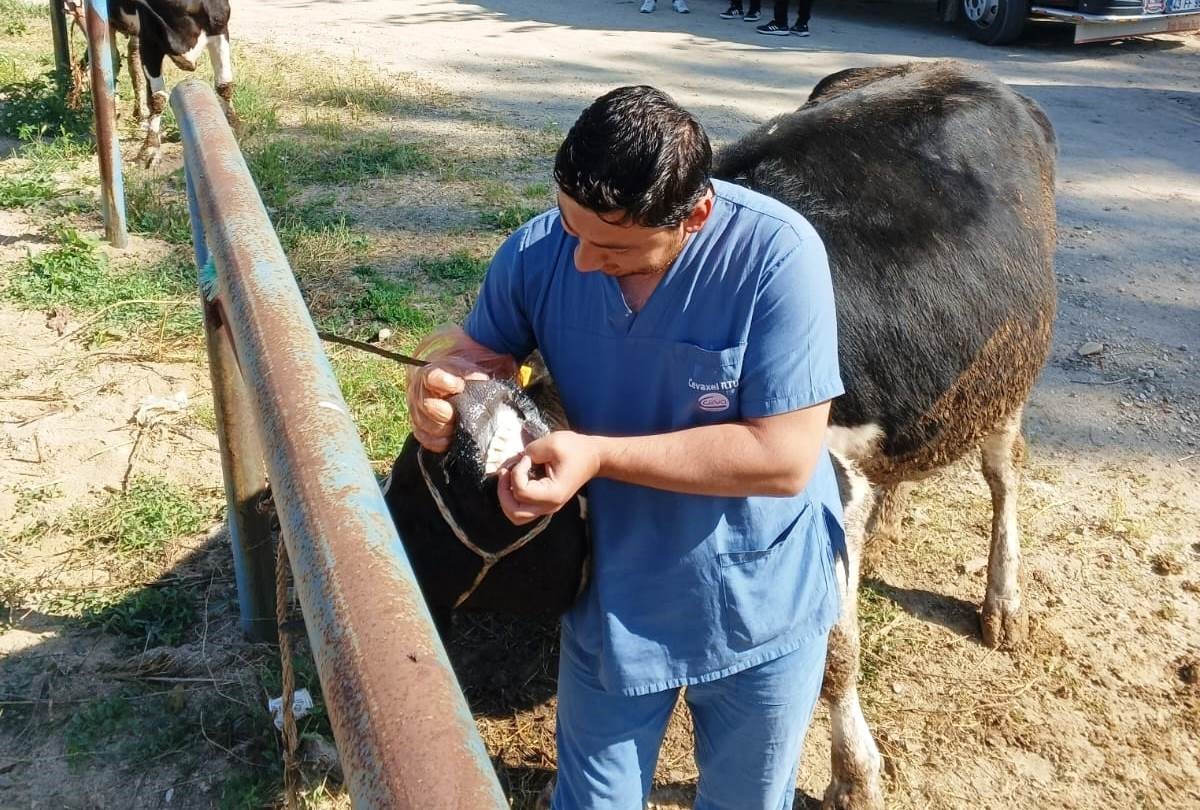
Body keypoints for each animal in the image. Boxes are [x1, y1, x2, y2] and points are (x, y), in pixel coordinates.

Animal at [66, 0, 236, 165]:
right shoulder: (149, 41)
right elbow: (158, 98)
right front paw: (150, 148)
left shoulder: (220, 28)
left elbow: (224, 85)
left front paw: (233, 125)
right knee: (110, 61)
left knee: (130, 56)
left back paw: (139, 114)